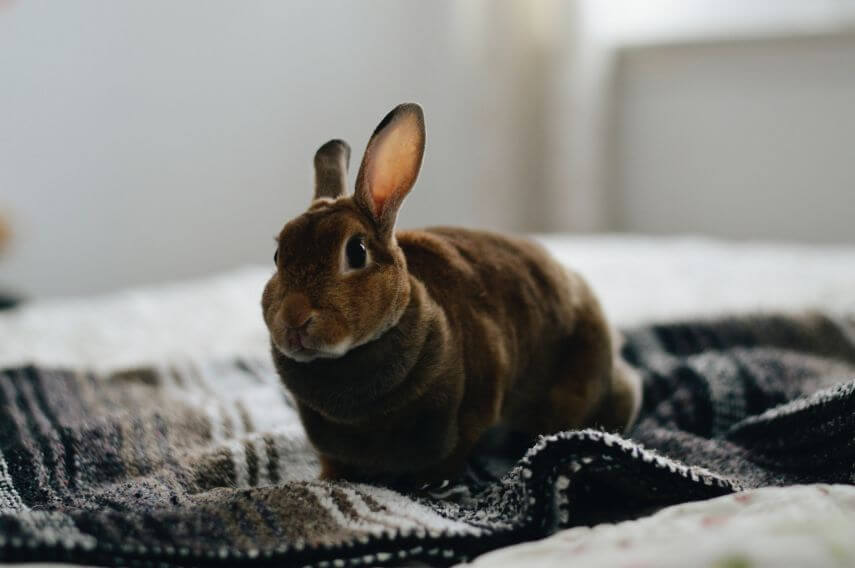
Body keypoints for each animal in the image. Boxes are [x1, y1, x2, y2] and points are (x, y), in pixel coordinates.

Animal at [262, 103, 640, 484]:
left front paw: (428, 485)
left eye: (356, 251)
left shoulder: (468, 411)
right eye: (278, 256)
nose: (294, 318)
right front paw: (328, 479)